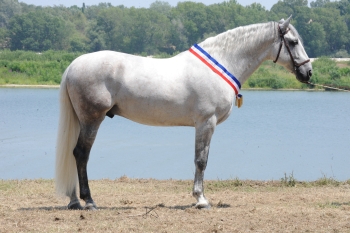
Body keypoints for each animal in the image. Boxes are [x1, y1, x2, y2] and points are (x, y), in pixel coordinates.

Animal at [54, 15, 312, 210]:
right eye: (293, 41)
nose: (308, 72)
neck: (222, 63)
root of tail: (74, 65)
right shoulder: (206, 123)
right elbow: (201, 160)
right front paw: (201, 200)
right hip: (92, 119)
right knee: (81, 154)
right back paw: (88, 201)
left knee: (75, 154)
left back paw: (75, 201)